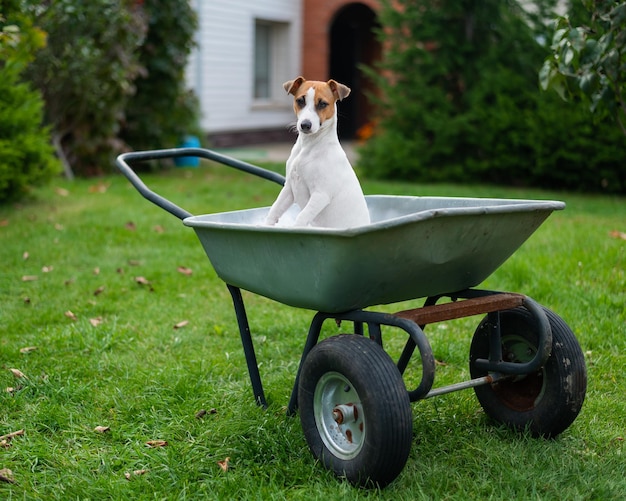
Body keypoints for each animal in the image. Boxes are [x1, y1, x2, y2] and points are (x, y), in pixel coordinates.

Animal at [264, 76, 370, 229]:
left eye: (323, 104)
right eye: (300, 101)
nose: (305, 125)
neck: (308, 146)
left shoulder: (321, 194)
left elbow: (302, 216)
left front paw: (295, 229)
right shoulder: (289, 188)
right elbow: (275, 208)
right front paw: (264, 225)